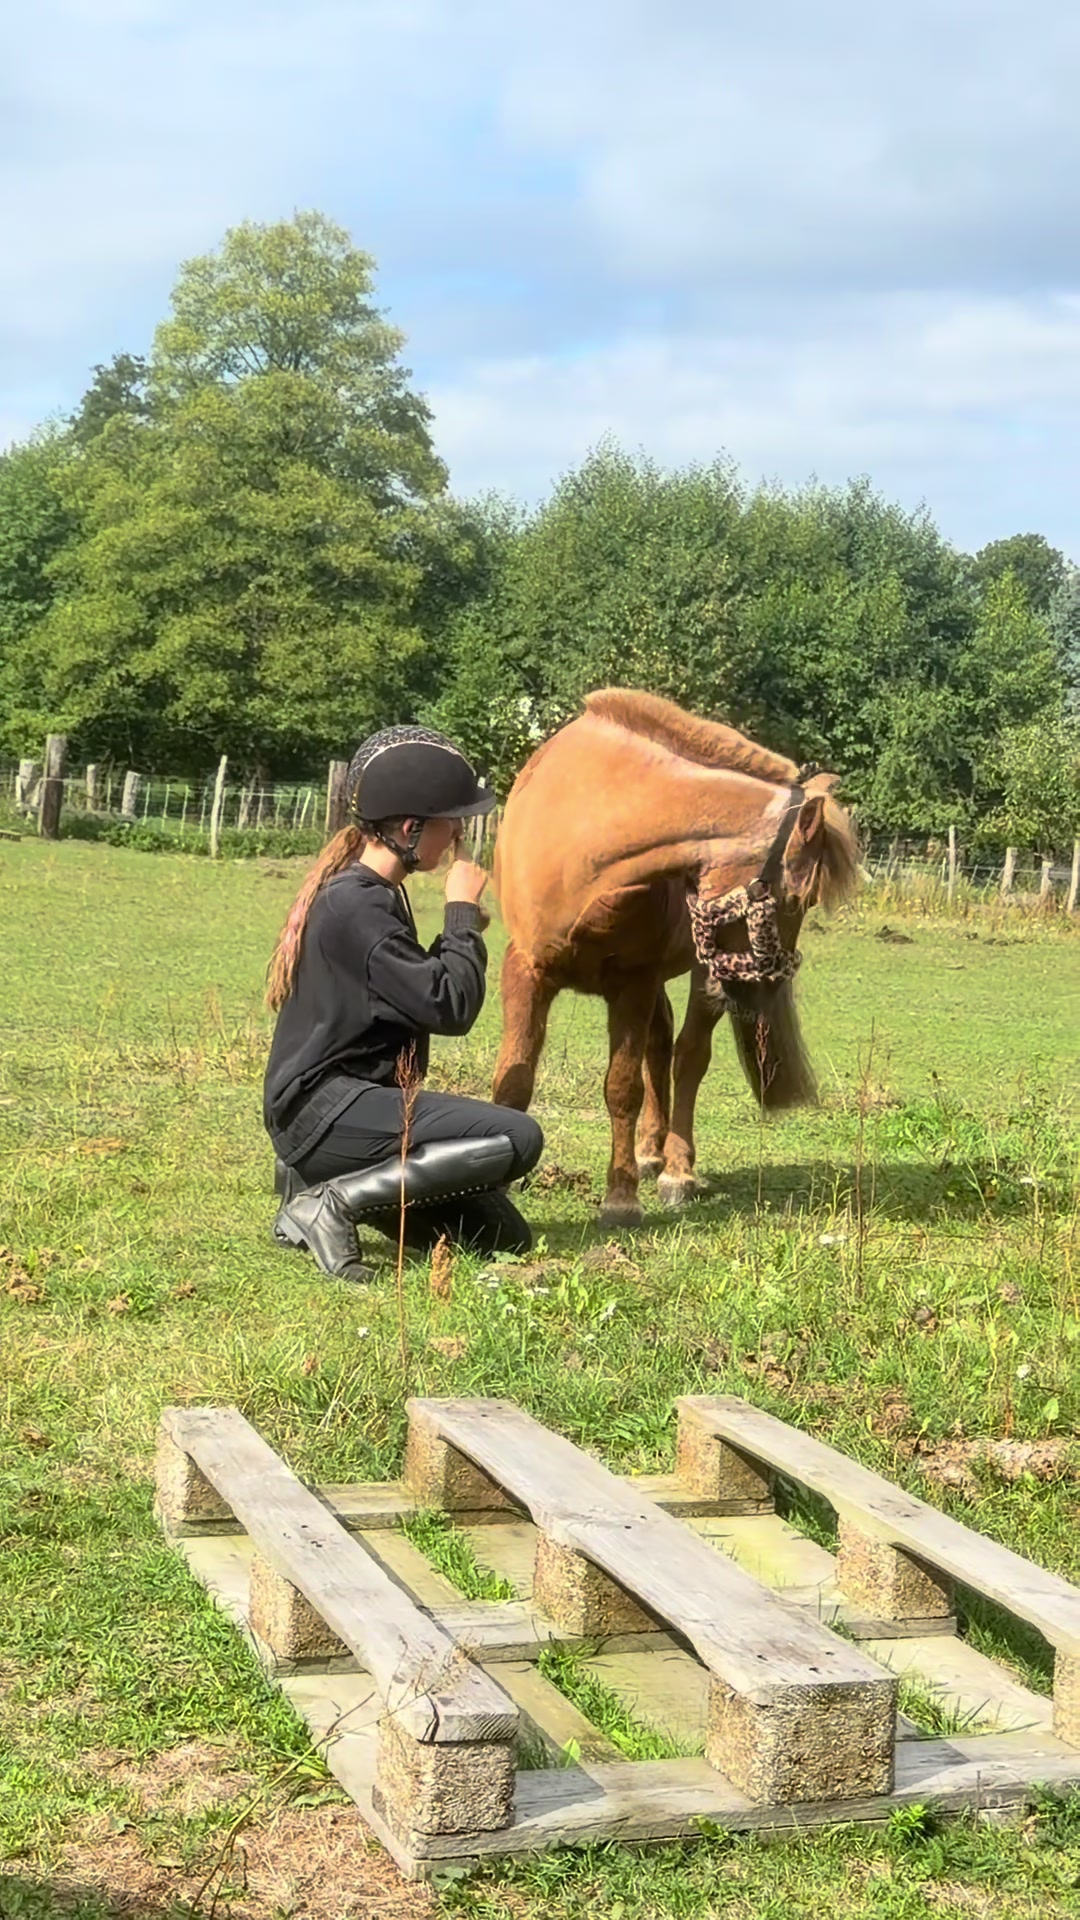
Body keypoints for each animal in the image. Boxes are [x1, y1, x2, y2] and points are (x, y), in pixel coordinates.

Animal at [491, 688, 859, 1225]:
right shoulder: (525, 970)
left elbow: (623, 1087)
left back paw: (676, 1169)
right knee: (660, 1046)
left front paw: (621, 1198)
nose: (767, 984)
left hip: (702, 974)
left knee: (686, 1056)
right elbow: (513, 1083)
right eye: (797, 900)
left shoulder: (633, 981)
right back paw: (651, 1150)